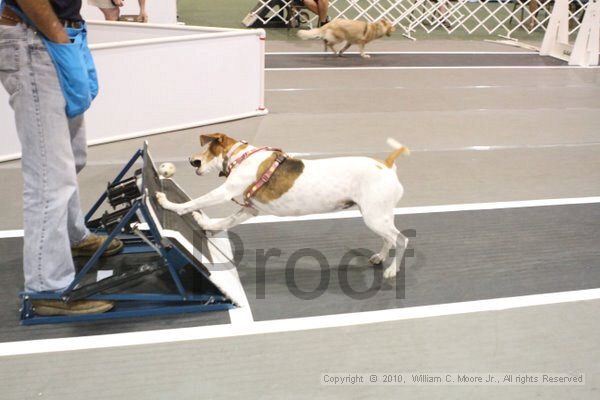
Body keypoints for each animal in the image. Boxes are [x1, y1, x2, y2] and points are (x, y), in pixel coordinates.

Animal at [155, 134, 410, 278]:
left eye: (206, 149)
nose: (190, 160)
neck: (241, 157)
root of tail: (387, 164)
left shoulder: (226, 192)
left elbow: (194, 202)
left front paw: (168, 203)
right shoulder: (250, 209)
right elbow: (224, 221)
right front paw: (205, 223)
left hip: (374, 217)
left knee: (401, 239)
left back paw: (392, 270)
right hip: (377, 216)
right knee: (389, 239)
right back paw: (379, 258)